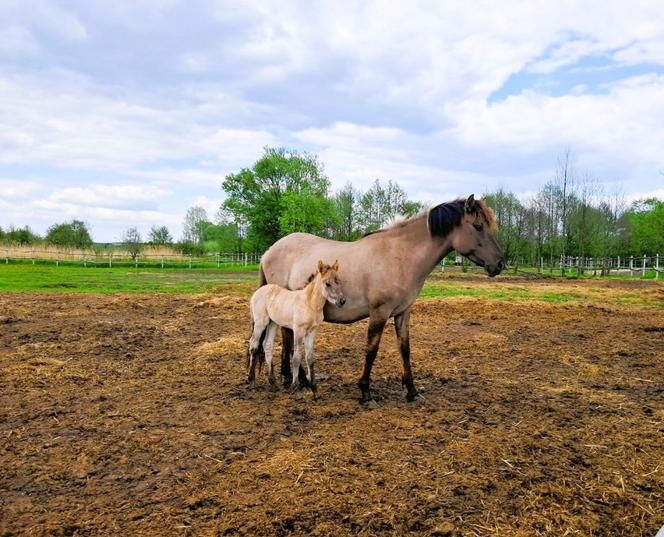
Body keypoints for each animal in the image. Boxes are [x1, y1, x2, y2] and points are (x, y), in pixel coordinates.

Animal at [246, 260, 344, 394]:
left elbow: (310, 357)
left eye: (338, 280)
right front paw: (296, 387)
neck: (310, 303)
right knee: (253, 345)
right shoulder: (298, 330)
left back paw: (273, 383)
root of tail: (257, 292)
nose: (342, 301)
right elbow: (297, 357)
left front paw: (314, 389)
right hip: (261, 322)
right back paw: (251, 381)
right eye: (327, 284)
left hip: (273, 323)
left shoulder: (312, 331)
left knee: (267, 345)